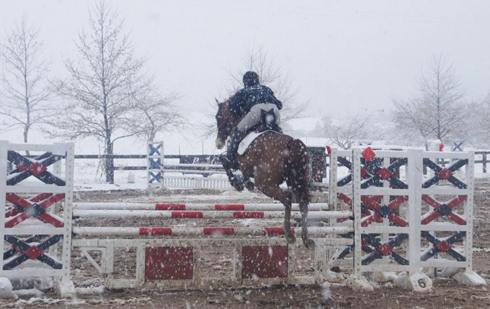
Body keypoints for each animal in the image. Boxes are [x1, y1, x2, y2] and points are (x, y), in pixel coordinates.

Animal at [214, 98, 314, 248]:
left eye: (218, 117)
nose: (219, 142)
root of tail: (292, 143)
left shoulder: (235, 161)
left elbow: (225, 162)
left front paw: (239, 184)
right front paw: (246, 183)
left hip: (264, 183)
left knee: (287, 199)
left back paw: (289, 234)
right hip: (298, 180)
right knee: (303, 204)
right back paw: (306, 239)